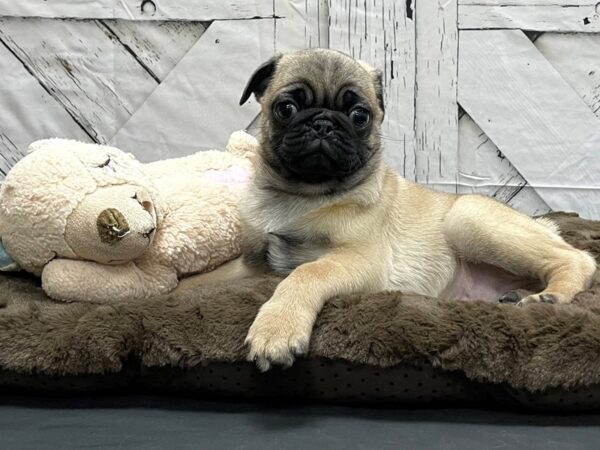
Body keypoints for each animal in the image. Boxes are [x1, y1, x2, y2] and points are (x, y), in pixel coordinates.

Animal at [186, 48, 596, 370]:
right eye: (286, 108)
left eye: (359, 115)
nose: (323, 123)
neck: (303, 193)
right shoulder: (254, 263)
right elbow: (211, 276)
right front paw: (177, 284)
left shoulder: (358, 259)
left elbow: (304, 274)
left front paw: (277, 327)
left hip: (467, 219)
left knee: (579, 260)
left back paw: (548, 297)